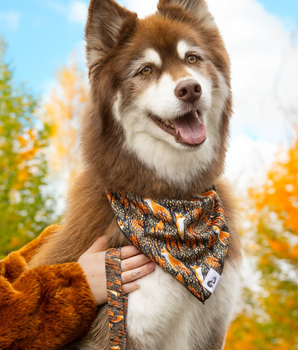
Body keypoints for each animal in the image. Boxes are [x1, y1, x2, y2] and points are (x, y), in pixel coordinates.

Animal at [30, 0, 242, 348]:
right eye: (146, 70)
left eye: (192, 58)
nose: (190, 89)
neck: (173, 200)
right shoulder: (119, 328)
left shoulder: (212, 329)